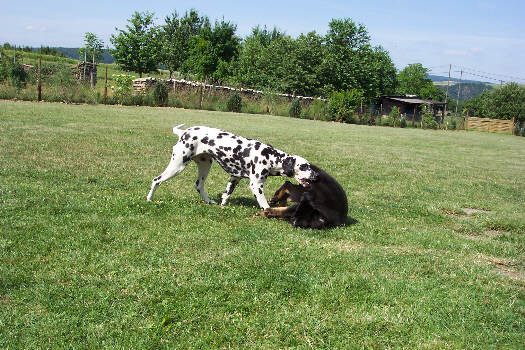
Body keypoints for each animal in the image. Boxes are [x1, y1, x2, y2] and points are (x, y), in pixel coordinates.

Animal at [145, 124, 318, 209]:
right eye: (304, 166)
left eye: (310, 166)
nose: (316, 176)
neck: (269, 156)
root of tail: (183, 133)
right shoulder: (256, 185)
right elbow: (265, 205)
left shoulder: (234, 178)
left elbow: (225, 196)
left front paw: (222, 206)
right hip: (178, 165)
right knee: (156, 180)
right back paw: (149, 199)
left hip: (205, 165)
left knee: (199, 185)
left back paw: (209, 202)